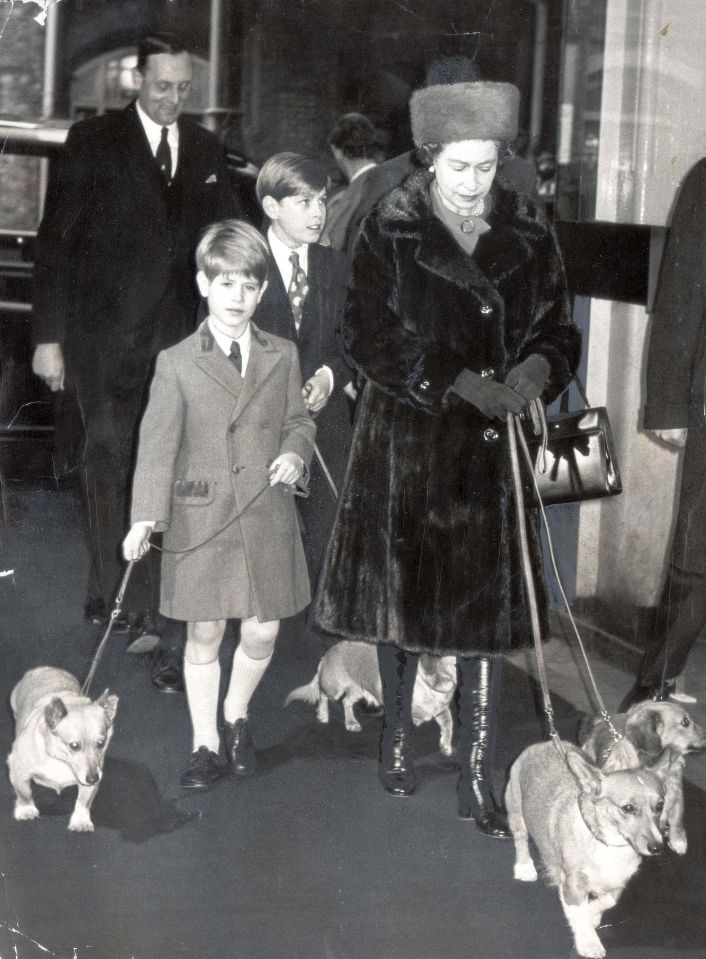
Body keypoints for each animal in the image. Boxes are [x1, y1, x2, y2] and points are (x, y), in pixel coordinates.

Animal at [6, 668, 118, 832]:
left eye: (101, 743)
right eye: (74, 745)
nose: (93, 779)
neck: (61, 760)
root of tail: (44, 668)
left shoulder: (92, 778)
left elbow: (83, 801)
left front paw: (81, 821)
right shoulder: (17, 768)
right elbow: (24, 792)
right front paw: (26, 809)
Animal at [284, 640, 454, 752]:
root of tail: (326, 655)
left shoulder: (441, 711)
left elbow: (448, 724)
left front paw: (446, 745)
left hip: (357, 690)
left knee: (346, 702)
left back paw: (351, 722)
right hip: (334, 689)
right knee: (322, 693)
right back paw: (323, 714)